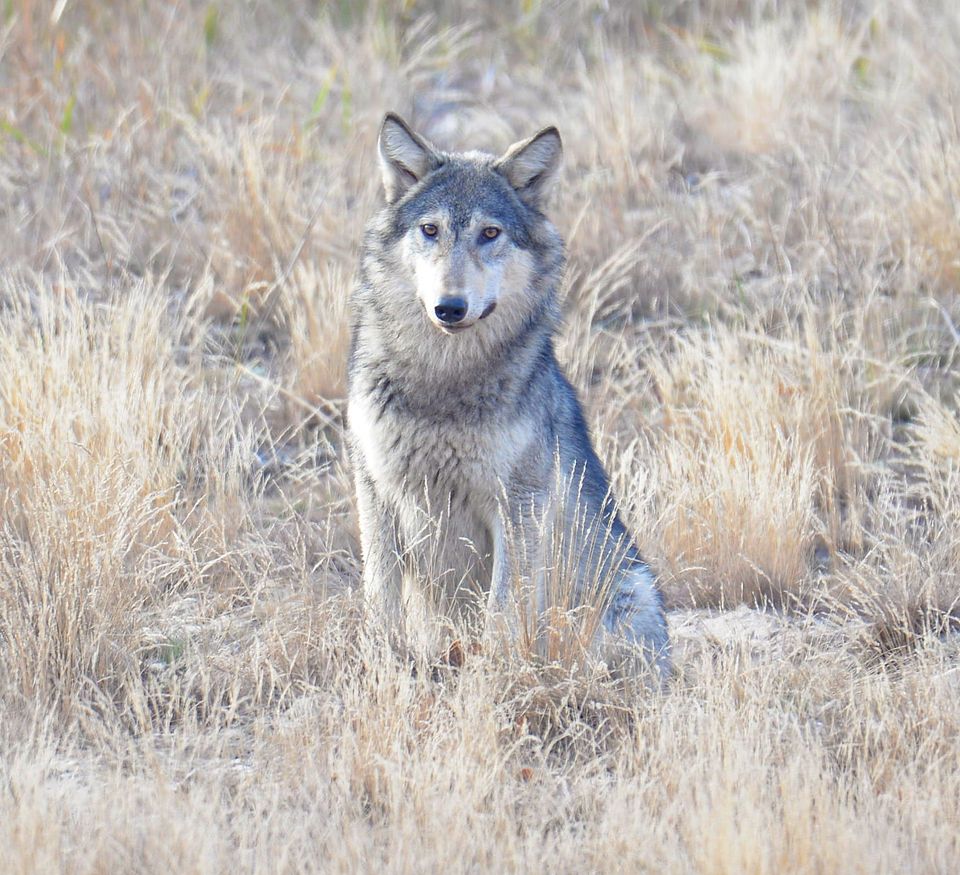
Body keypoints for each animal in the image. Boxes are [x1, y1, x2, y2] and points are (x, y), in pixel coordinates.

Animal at [344, 113, 668, 676]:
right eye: (430, 230)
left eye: (490, 233)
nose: (450, 307)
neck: (442, 382)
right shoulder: (376, 490)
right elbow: (380, 599)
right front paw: (382, 667)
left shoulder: (518, 505)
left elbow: (501, 610)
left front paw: (493, 679)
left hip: (625, 592)